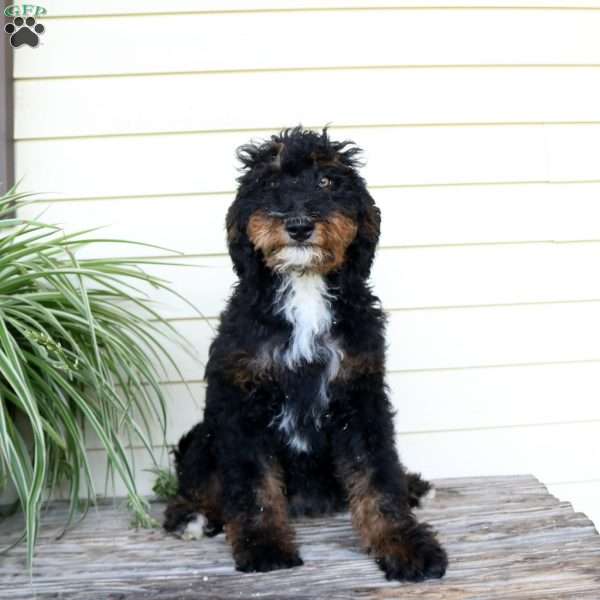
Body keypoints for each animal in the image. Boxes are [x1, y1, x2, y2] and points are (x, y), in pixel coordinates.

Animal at [163, 126, 446, 580]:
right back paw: (193, 514)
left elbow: (378, 477)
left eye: (328, 181)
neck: (304, 287)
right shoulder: (241, 401)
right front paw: (264, 545)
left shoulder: (360, 396)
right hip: (205, 433)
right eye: (270, 182)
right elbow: (253, 484)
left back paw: (414, 486)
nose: (298, 226)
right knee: (200, 476)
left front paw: (405, 544)